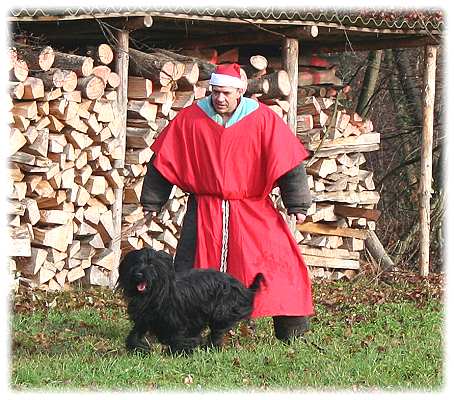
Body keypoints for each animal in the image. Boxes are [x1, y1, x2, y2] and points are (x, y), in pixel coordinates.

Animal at [117, 248, 264, 354]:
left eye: (151, 264)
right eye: (136, 262)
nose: (138, 274)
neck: (154, 293)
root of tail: (242, 288)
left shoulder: (178, 320)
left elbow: (177, 337)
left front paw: (185, 348)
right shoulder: (144, 319)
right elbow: (135, 334)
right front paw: (140, 348)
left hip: (223, 310)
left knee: (217, 331)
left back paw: (210, 347)